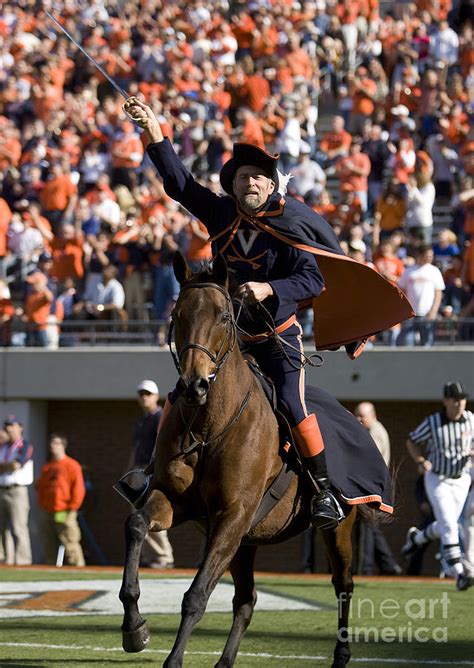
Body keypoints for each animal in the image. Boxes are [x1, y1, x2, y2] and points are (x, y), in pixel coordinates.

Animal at [118, 252, 356, 668]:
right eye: (178, 314)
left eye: (224, 315)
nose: (194, 384)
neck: (210, 424)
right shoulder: (178, 502)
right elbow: (136, 525)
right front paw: (135, 627)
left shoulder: (232, 516)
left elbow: (196, 596)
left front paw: (173, 659)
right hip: (245, 543)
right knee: (246, 600)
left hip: (336, 529)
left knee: (342, 584)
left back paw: (341, 654)